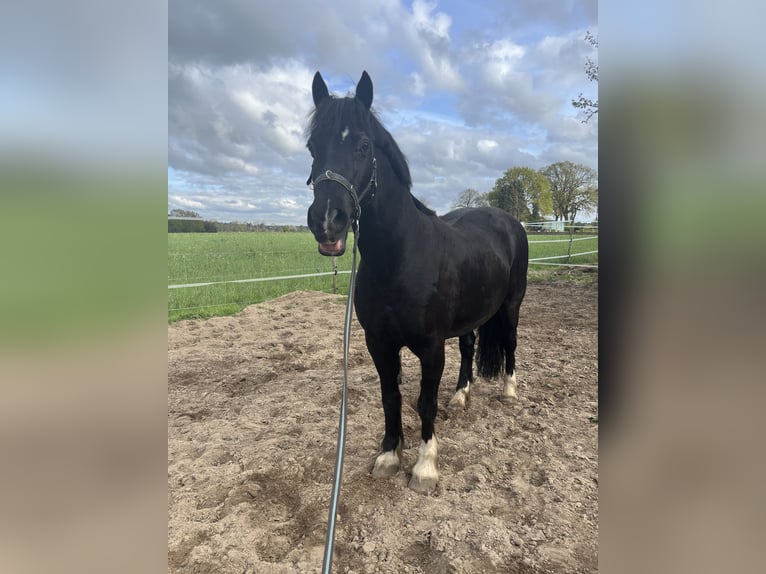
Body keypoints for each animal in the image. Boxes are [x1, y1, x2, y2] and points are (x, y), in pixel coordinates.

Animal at [306, 72, 528, 496]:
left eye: (363, 145)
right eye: (312, 146)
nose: (327, 220)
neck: (400, 259)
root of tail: (508, 221)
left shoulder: (430, 347)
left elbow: (425, 402)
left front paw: (425, 468)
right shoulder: (378, 343)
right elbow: (390, 397)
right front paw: (389, 456)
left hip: (511, 306)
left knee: (509, 342)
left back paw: (509, 391)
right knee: (469, 347)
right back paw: (460, 397)